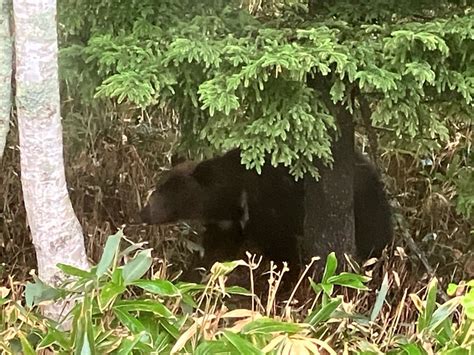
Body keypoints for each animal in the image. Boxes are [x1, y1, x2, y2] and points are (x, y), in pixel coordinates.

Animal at [140, 149, 392, 276]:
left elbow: (283, 252)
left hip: (365, 206)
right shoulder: (228, 221)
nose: (144, 212)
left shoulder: (267, 207)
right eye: (160, 186)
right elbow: (217, 248)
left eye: (168, 192)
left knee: (374, 238)